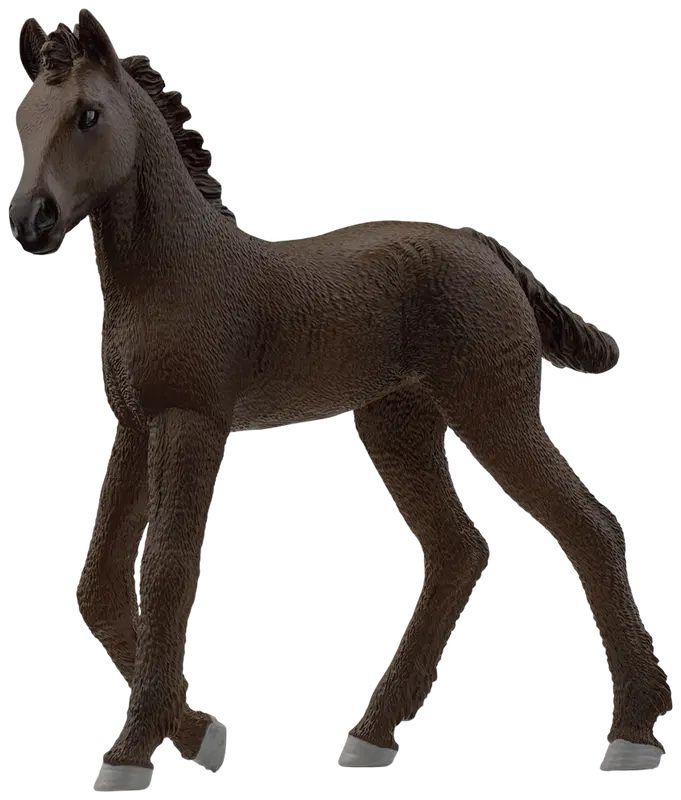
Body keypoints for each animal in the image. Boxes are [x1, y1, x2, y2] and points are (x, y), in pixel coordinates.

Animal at [11, 8, 671, 789]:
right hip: (398, 422)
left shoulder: (192, 421)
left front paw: (130, 752)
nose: (31, 221)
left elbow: (166, 570)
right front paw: (200, 735)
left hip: (493, 408)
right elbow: (100, 585)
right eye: (22, 119)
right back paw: (371, 735)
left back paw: (633, 735)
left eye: (88, 115)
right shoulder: (137, 426)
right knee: (458, 549)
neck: (172, 269)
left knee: (589, 526)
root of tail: (488, 249)